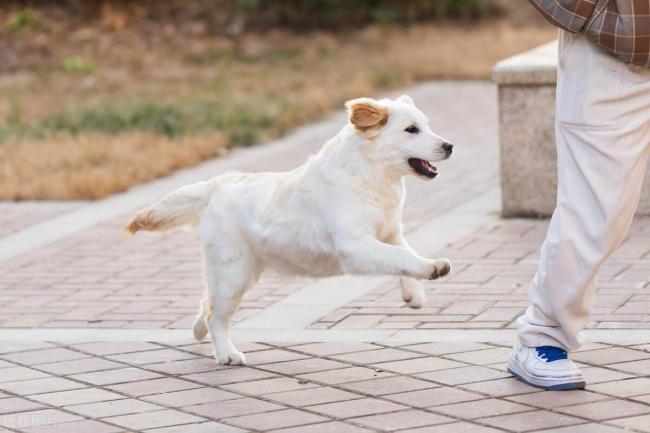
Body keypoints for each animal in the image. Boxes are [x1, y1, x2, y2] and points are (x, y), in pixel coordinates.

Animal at [125, 95, 450, 364]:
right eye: (411, 130)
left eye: (426, 126)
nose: (449, 146)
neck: (371, 175)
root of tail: (218, 184)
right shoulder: (355, 246)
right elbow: (401, 257)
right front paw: (432, 268)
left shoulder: (390, 233)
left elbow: (403, 254)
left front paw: (414, 293)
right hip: (233, 273)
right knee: (216, 315)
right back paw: (227, 354)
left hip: (237, 273)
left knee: (207, 304)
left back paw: (198, 331)